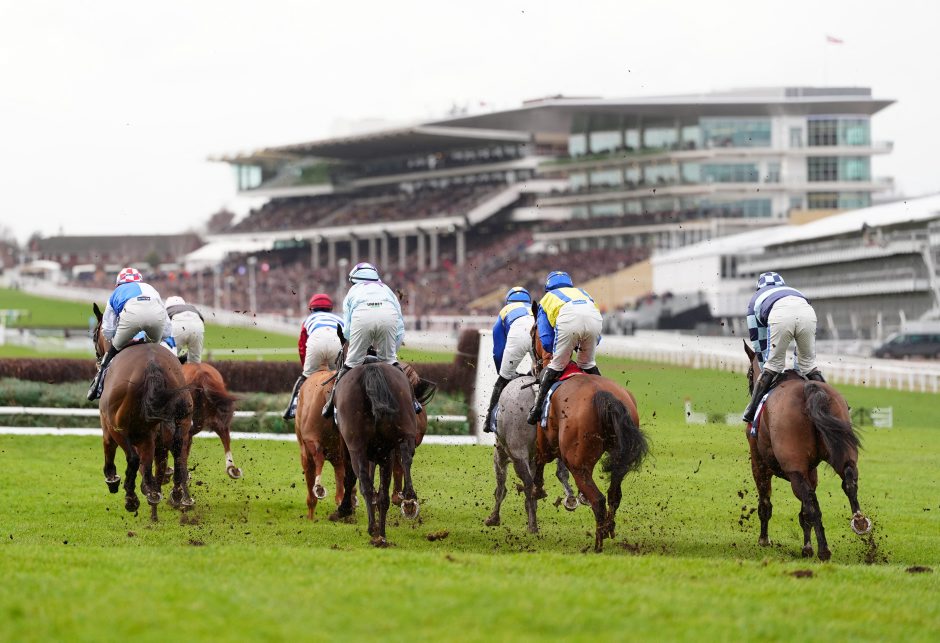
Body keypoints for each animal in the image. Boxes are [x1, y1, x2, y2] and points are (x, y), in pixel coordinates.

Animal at [92, 303, 194, 521]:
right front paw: (153, 491)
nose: (98, 359)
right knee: (178, 454)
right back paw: (177, 495)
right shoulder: (150, 433)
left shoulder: (108, 424)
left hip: (120, 426)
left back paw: (132, 498)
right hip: (181, 420)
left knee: (133, 458)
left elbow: (110, 448)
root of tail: (152, 365)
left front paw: (112, 479)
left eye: (94, 335)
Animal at [328, 330, 420, 546]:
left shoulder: (348, 446)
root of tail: (371, 370)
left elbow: (351, 478)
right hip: (404, 429)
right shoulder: (385, 452)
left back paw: (373, 530)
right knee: (406, 456)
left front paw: (344, 509)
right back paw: (408, 499)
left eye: (337, 357)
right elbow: (382, 492)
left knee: (364, 484)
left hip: (357, 447)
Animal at [484, 373, 581, 533]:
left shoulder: (500, 455)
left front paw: (493, 518)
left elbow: (500, 488)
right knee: (539, 483)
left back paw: (532, 525)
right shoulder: (533, 459)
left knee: (528, 485)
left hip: (517, 454)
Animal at [530, 316, 649, 552]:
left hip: (578, 464)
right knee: (614, 495)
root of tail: (605, 397)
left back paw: (598, 543)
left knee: (599, 500)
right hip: (618, 460)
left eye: (532, 332)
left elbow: (538, 464)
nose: (533, 368)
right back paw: (608, 528)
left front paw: (537, 491)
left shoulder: (545, 446)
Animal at [743, 341, 872, 561]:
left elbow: (766, 504)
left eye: (749, 373)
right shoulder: (811, 471)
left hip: (794, 470)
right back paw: (859, 520)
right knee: (848, 479)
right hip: (841, 453)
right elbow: (804, 511)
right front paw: (806, 547)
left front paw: (764, 540)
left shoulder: (760, 464)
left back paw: (824, 550)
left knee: (812, 504)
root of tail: (809, 390)